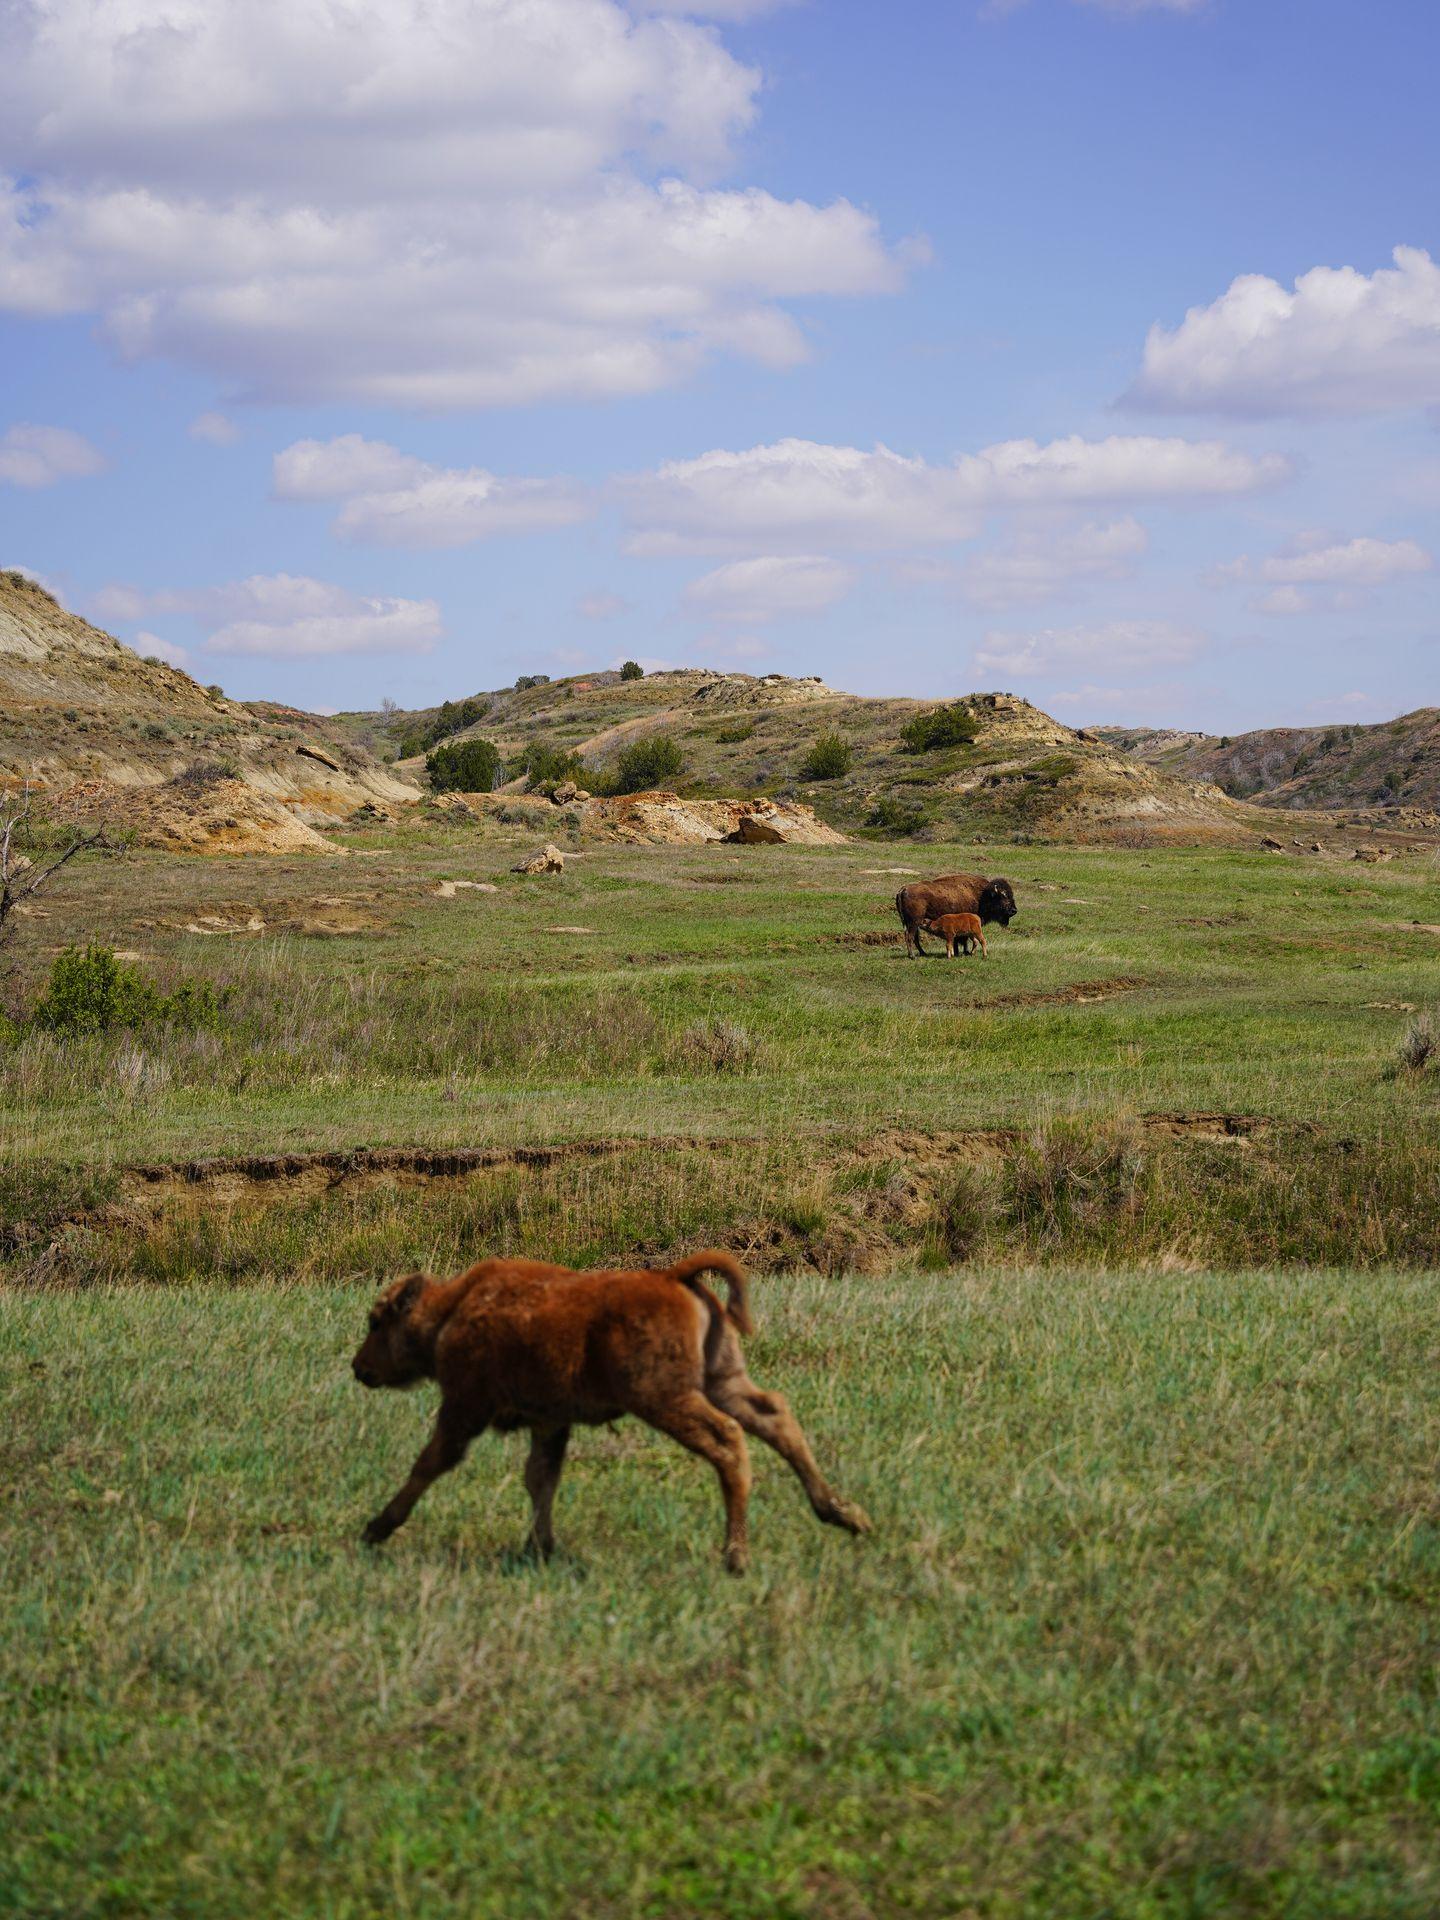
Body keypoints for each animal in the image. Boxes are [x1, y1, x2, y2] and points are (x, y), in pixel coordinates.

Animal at [353, 1244, 867, 1574]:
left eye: (377, 1323)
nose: (359, 1367)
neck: (452, 1311)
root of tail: (672, 1278)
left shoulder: (463, 1408)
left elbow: (430, 1463)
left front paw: (376, 1528)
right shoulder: (550, 1422)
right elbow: (540, 1478)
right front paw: (540, 1548)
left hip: (666, 1399)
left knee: (727, 1441)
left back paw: (735, 1557)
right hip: (724, 1381)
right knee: (775, 1418)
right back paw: (844, 1514)